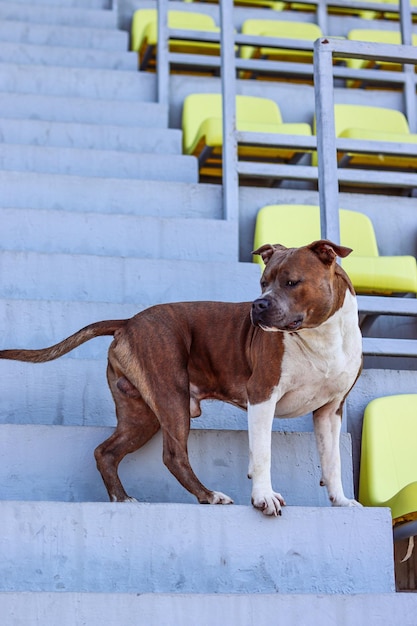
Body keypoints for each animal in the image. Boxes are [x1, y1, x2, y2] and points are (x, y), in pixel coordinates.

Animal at [0, 239, 360, 512]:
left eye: (291, 282)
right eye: (262, 283)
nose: (258, 304)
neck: (320, 337)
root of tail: (128, 321)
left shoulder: (330, 411)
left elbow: (332, 461)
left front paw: (341, 500)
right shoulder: (262, 396)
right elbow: (262, 454)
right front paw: (263, 497)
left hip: (141, 413)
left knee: (106, 451)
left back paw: (121, 498)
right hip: (171, 396)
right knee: (173, 455)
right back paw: (208, 495)